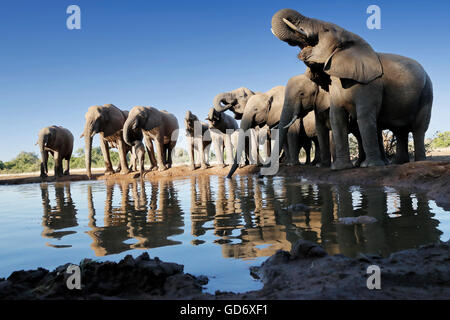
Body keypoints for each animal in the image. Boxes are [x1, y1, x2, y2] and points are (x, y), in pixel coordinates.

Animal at [270, 8, 432, 170]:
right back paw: (398, 163)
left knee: (418, 128)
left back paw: (418, 162)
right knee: (400, 131)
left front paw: (369, 166)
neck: (350, 36)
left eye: (326, 30)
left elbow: (364, 116)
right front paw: (338, 167)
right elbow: (336, 118)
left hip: (426, 94)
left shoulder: (370, 84)